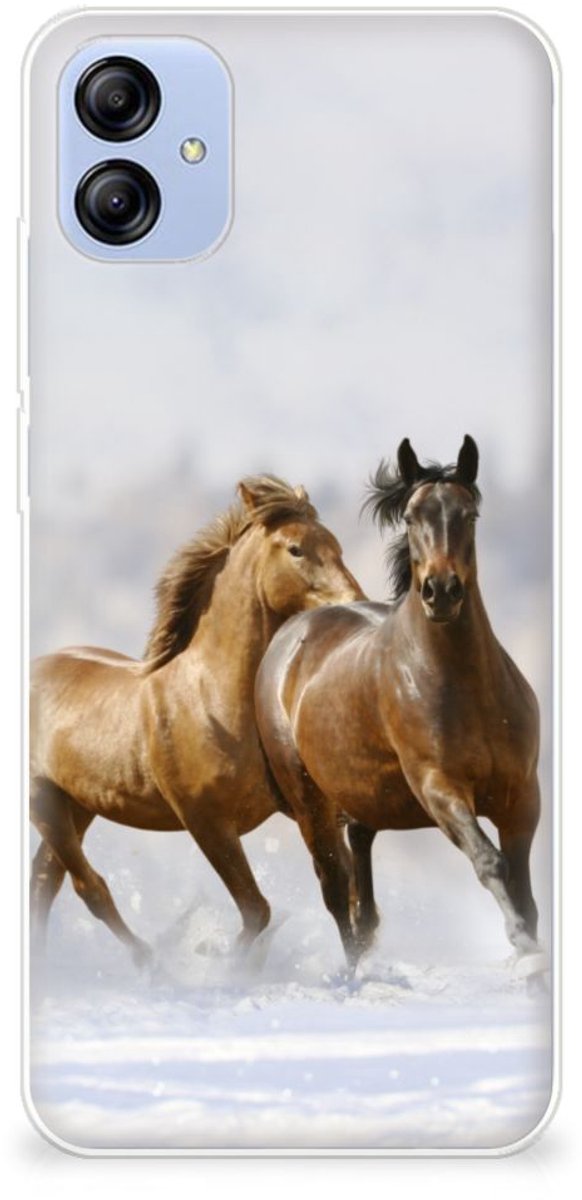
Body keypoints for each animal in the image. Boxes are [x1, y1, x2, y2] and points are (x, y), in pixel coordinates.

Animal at [30, 475, 364, 965]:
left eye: (337, 544)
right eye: (296, 549)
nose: (355, 604)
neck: (213, 701)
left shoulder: (306, 807)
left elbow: (338, 887)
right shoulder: (206, 822)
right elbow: (257, 910)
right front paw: (220, 963)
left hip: (77, 804)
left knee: (44, 881)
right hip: (43, 801)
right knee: (87, 887)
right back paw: (150, 962)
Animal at [255, 438, 542, 970]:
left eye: (469, 514)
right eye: (410, 517)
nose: (441, 591)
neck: (466, 688)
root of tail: (289, 635)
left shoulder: (522, 796)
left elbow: (524, 890)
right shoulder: (439, 788)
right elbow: (490, 862)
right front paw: (524, 948)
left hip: (361, 799)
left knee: (361, 888)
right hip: (310, 803)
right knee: (336, 890)